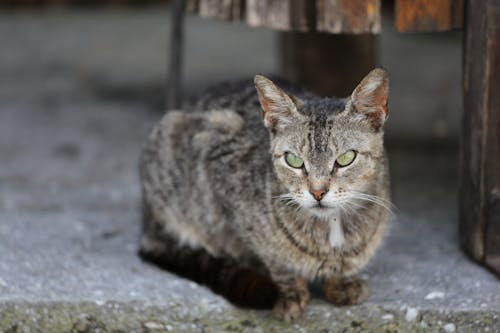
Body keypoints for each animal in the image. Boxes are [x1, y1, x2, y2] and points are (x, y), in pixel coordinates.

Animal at [139, 68, 392, 320]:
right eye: (294, 160)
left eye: (346, 158)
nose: (317, 192)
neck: (332, 226)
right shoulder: (219, 176)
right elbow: (269, 254)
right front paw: (289, 290)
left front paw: (342, 280)